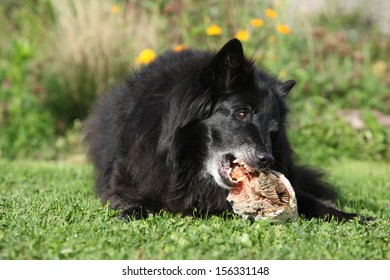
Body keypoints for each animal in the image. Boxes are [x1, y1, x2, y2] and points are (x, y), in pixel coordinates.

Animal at [84, 38, 362, 221]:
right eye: (241, 113)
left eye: (272, 130)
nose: (267, 160)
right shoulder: (124, 183)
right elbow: (134, 201)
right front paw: (130, 212)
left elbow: (311, 201)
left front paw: (352, 216)